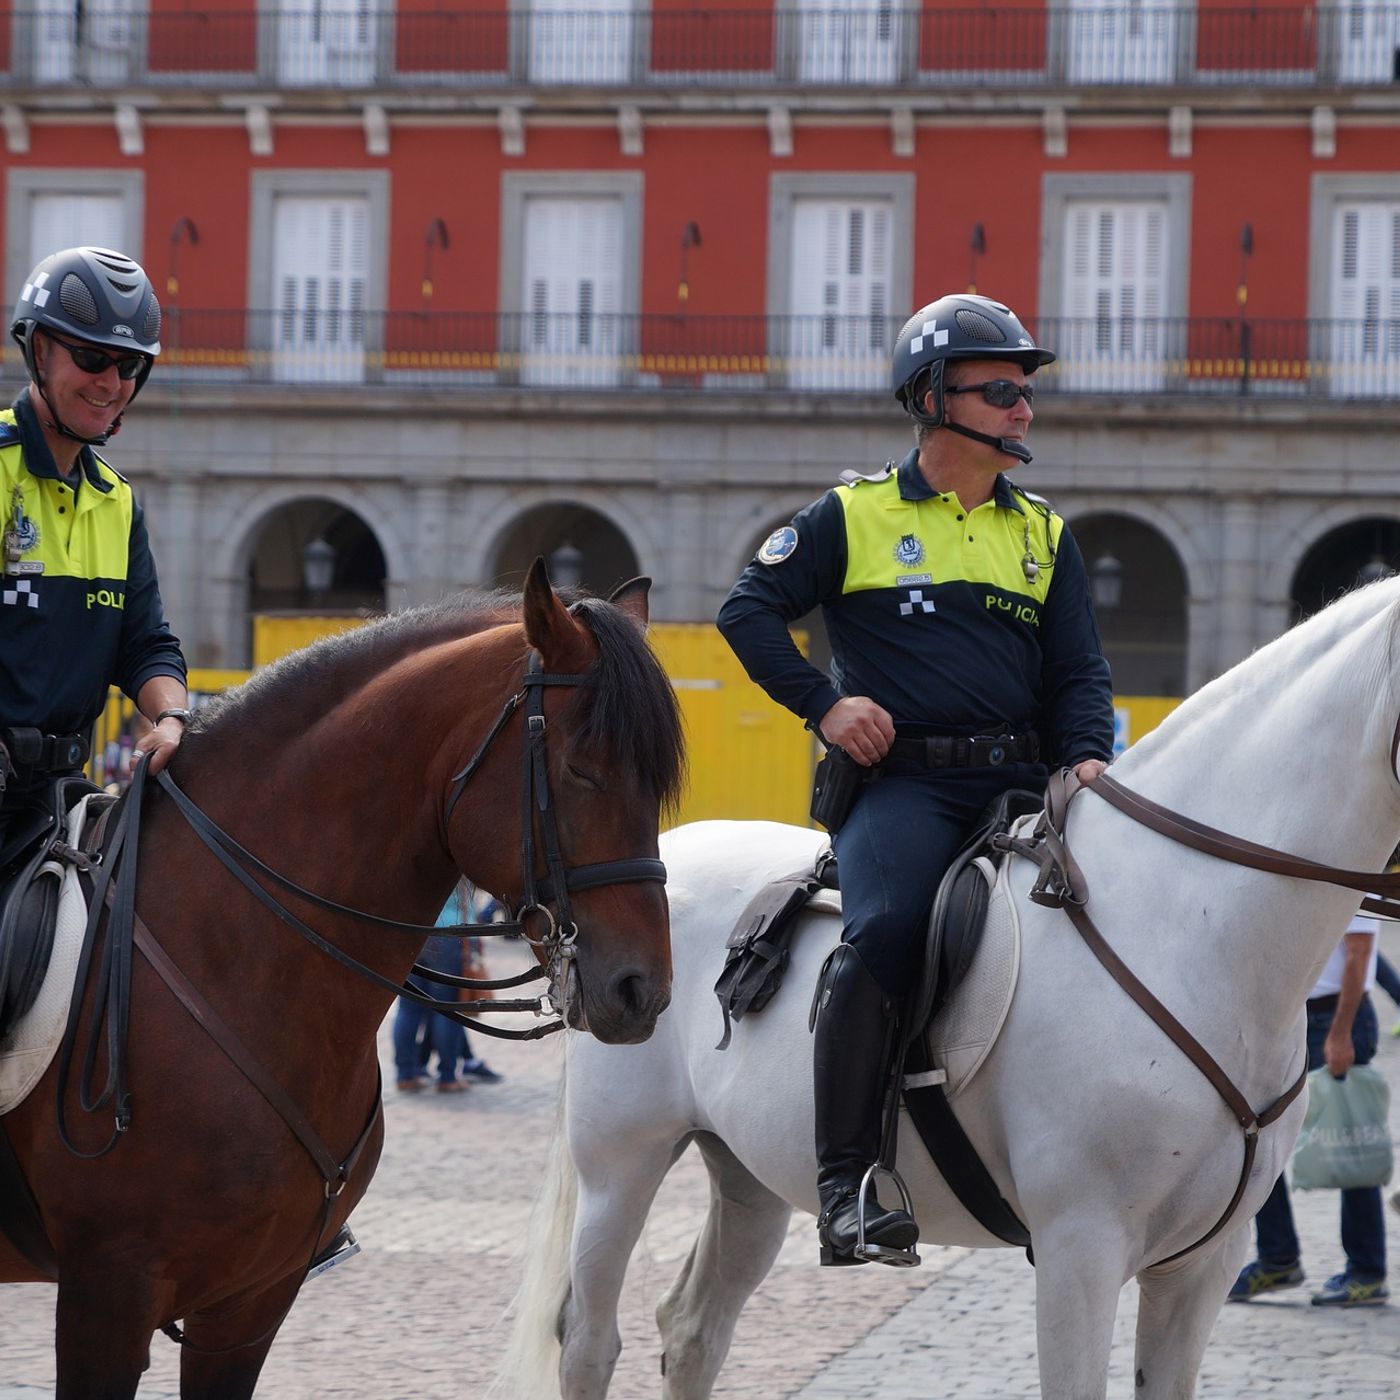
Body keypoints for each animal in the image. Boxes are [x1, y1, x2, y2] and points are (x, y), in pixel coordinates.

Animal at [504, 575, 1400, 1400]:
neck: (1189, 926)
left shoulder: (1201, 1266)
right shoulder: (1080, 1248)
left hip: (749, 1174)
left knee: (693, 1329)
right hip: (621, 1162)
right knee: (588, 1341)